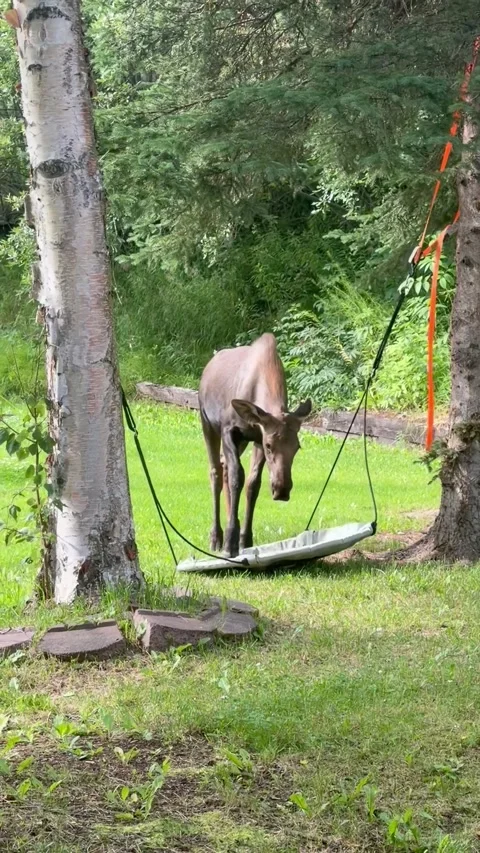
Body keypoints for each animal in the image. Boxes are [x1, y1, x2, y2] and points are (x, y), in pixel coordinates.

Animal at [198, 333, 311, 557]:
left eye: (297, 447)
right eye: (269, 445)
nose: (282, 489)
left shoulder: (256, 436)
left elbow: (252, 483)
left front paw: (244, 539)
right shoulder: (230, 430)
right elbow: (237, 477)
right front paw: (230, 542)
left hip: (241, 441)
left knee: (224, 466)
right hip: (207, 423)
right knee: (216, 472)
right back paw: (217, 536)